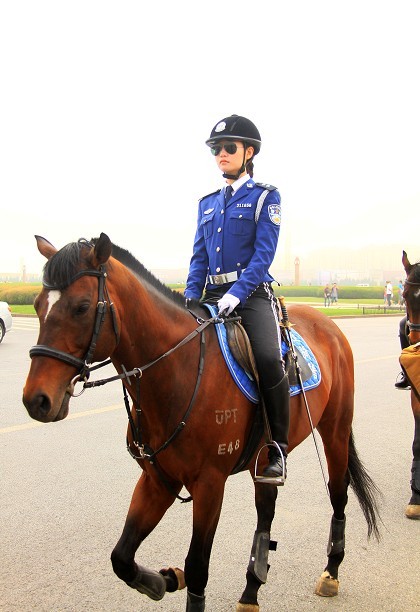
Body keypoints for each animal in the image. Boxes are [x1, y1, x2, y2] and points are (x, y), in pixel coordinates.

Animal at [21, 234, 378, 612]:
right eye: (37, 304)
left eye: (82, 306)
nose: (36, 399)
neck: (177, 369)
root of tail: (328, 324)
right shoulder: (158, 480)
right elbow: (122, 557)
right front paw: (163, 580)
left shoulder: (209, 484)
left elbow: (196, 567)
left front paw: (176, 578)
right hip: (264, 458)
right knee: (266, 508)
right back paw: (251, 588)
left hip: (335, 431)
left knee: (339, 494)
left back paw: (331, 570)